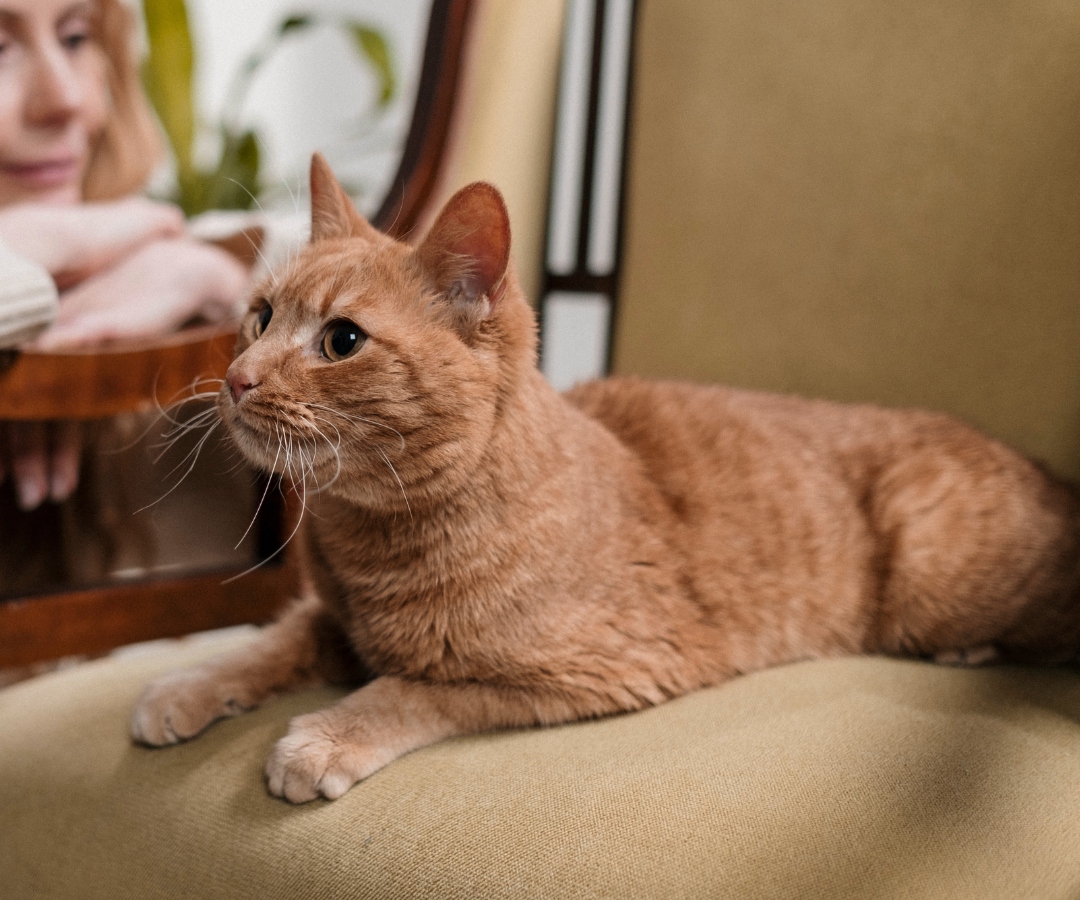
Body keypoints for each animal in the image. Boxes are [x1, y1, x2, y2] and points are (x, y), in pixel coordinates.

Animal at [130, 154, 1075, 799]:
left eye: (341, 341)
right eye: (259, 317)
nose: (238, 377)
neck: (372, 545)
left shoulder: (583, 673)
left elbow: (414, 687)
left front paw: (323, 737)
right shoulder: (331, 620)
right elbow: (271, 640)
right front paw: (184, 684)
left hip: (930, 572)